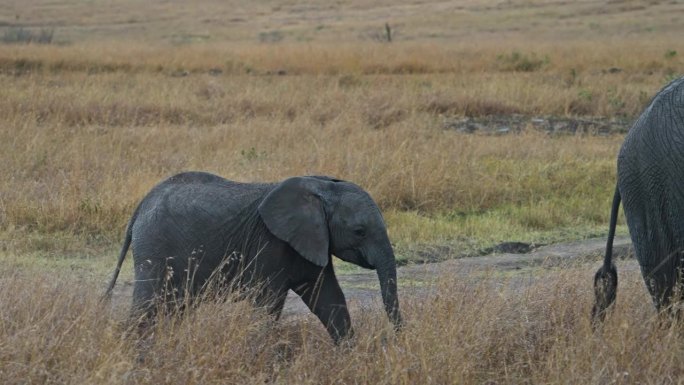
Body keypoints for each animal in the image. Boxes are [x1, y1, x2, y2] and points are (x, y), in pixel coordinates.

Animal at [103, 172, 400, 342]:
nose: (397, 339)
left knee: (173, 305)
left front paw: (349, 354)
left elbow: (328, 298)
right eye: (359, 232)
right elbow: (269, 304)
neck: (320, 189)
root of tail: (143, 204)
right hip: (154, 246)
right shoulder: (270, 243)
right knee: (149, 303)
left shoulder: (310, 241)